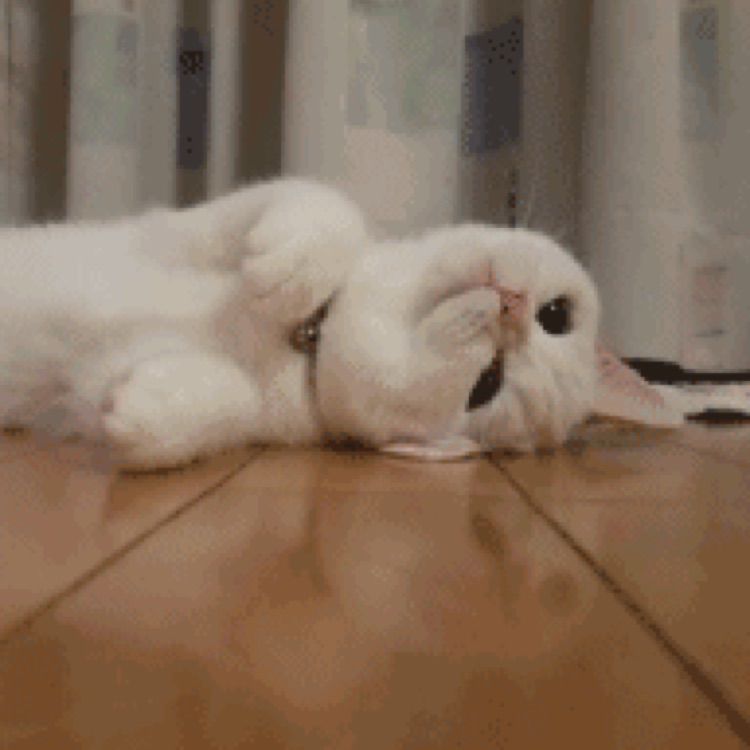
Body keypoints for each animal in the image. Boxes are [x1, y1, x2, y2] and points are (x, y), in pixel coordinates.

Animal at [0, 178, 369, 468]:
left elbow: (238, 402)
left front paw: (156, 406)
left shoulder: (89, 379)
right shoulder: (188, 231)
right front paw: (296, 264)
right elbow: (314, 194)